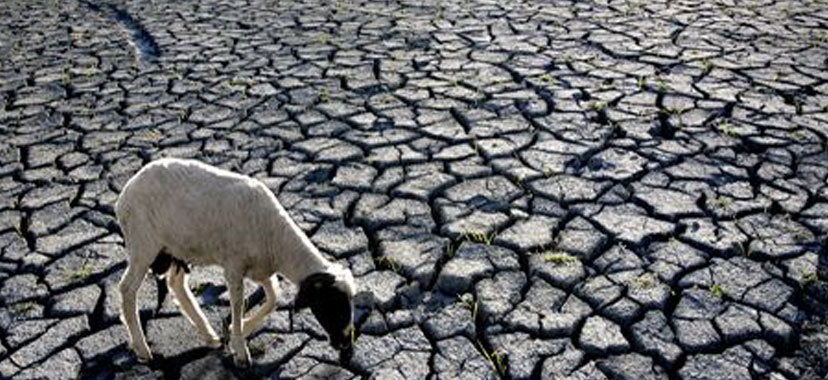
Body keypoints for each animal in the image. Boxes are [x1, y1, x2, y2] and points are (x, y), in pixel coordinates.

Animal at [114, 156, 356, 366]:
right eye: (331, 303)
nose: (346, 345)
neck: (278, 241)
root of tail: (124, 193)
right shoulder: (234, 267)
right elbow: (238, 303)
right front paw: (240, 351)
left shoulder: (260, 268)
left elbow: (274, 297)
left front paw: (238, 329)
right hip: (143, 244)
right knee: (128, 288)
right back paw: (142, 349)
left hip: (177, 248)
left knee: (177, 284)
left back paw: (209, 336)